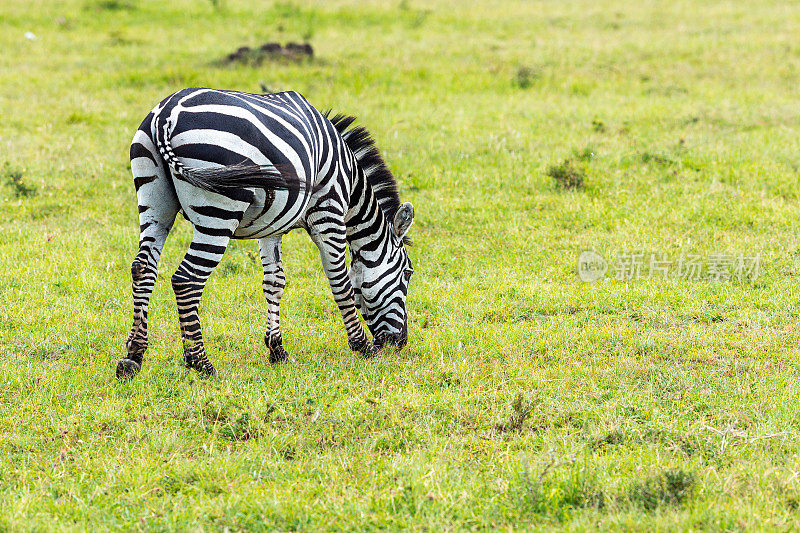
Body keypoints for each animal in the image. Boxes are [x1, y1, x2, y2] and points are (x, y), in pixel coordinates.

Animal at [119, 87, 418, 378]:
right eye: (407, 273)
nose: (400, 343)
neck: (351, 182)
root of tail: (166, 114)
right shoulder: (328, 212)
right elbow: (341, 282)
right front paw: (362, 346)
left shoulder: (272, 224)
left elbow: (274, 282)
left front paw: (277, 350)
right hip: (218, 212)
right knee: (187, 279)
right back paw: (201, 363)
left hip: (154, 201)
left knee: (142, 268)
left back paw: (133, 357)